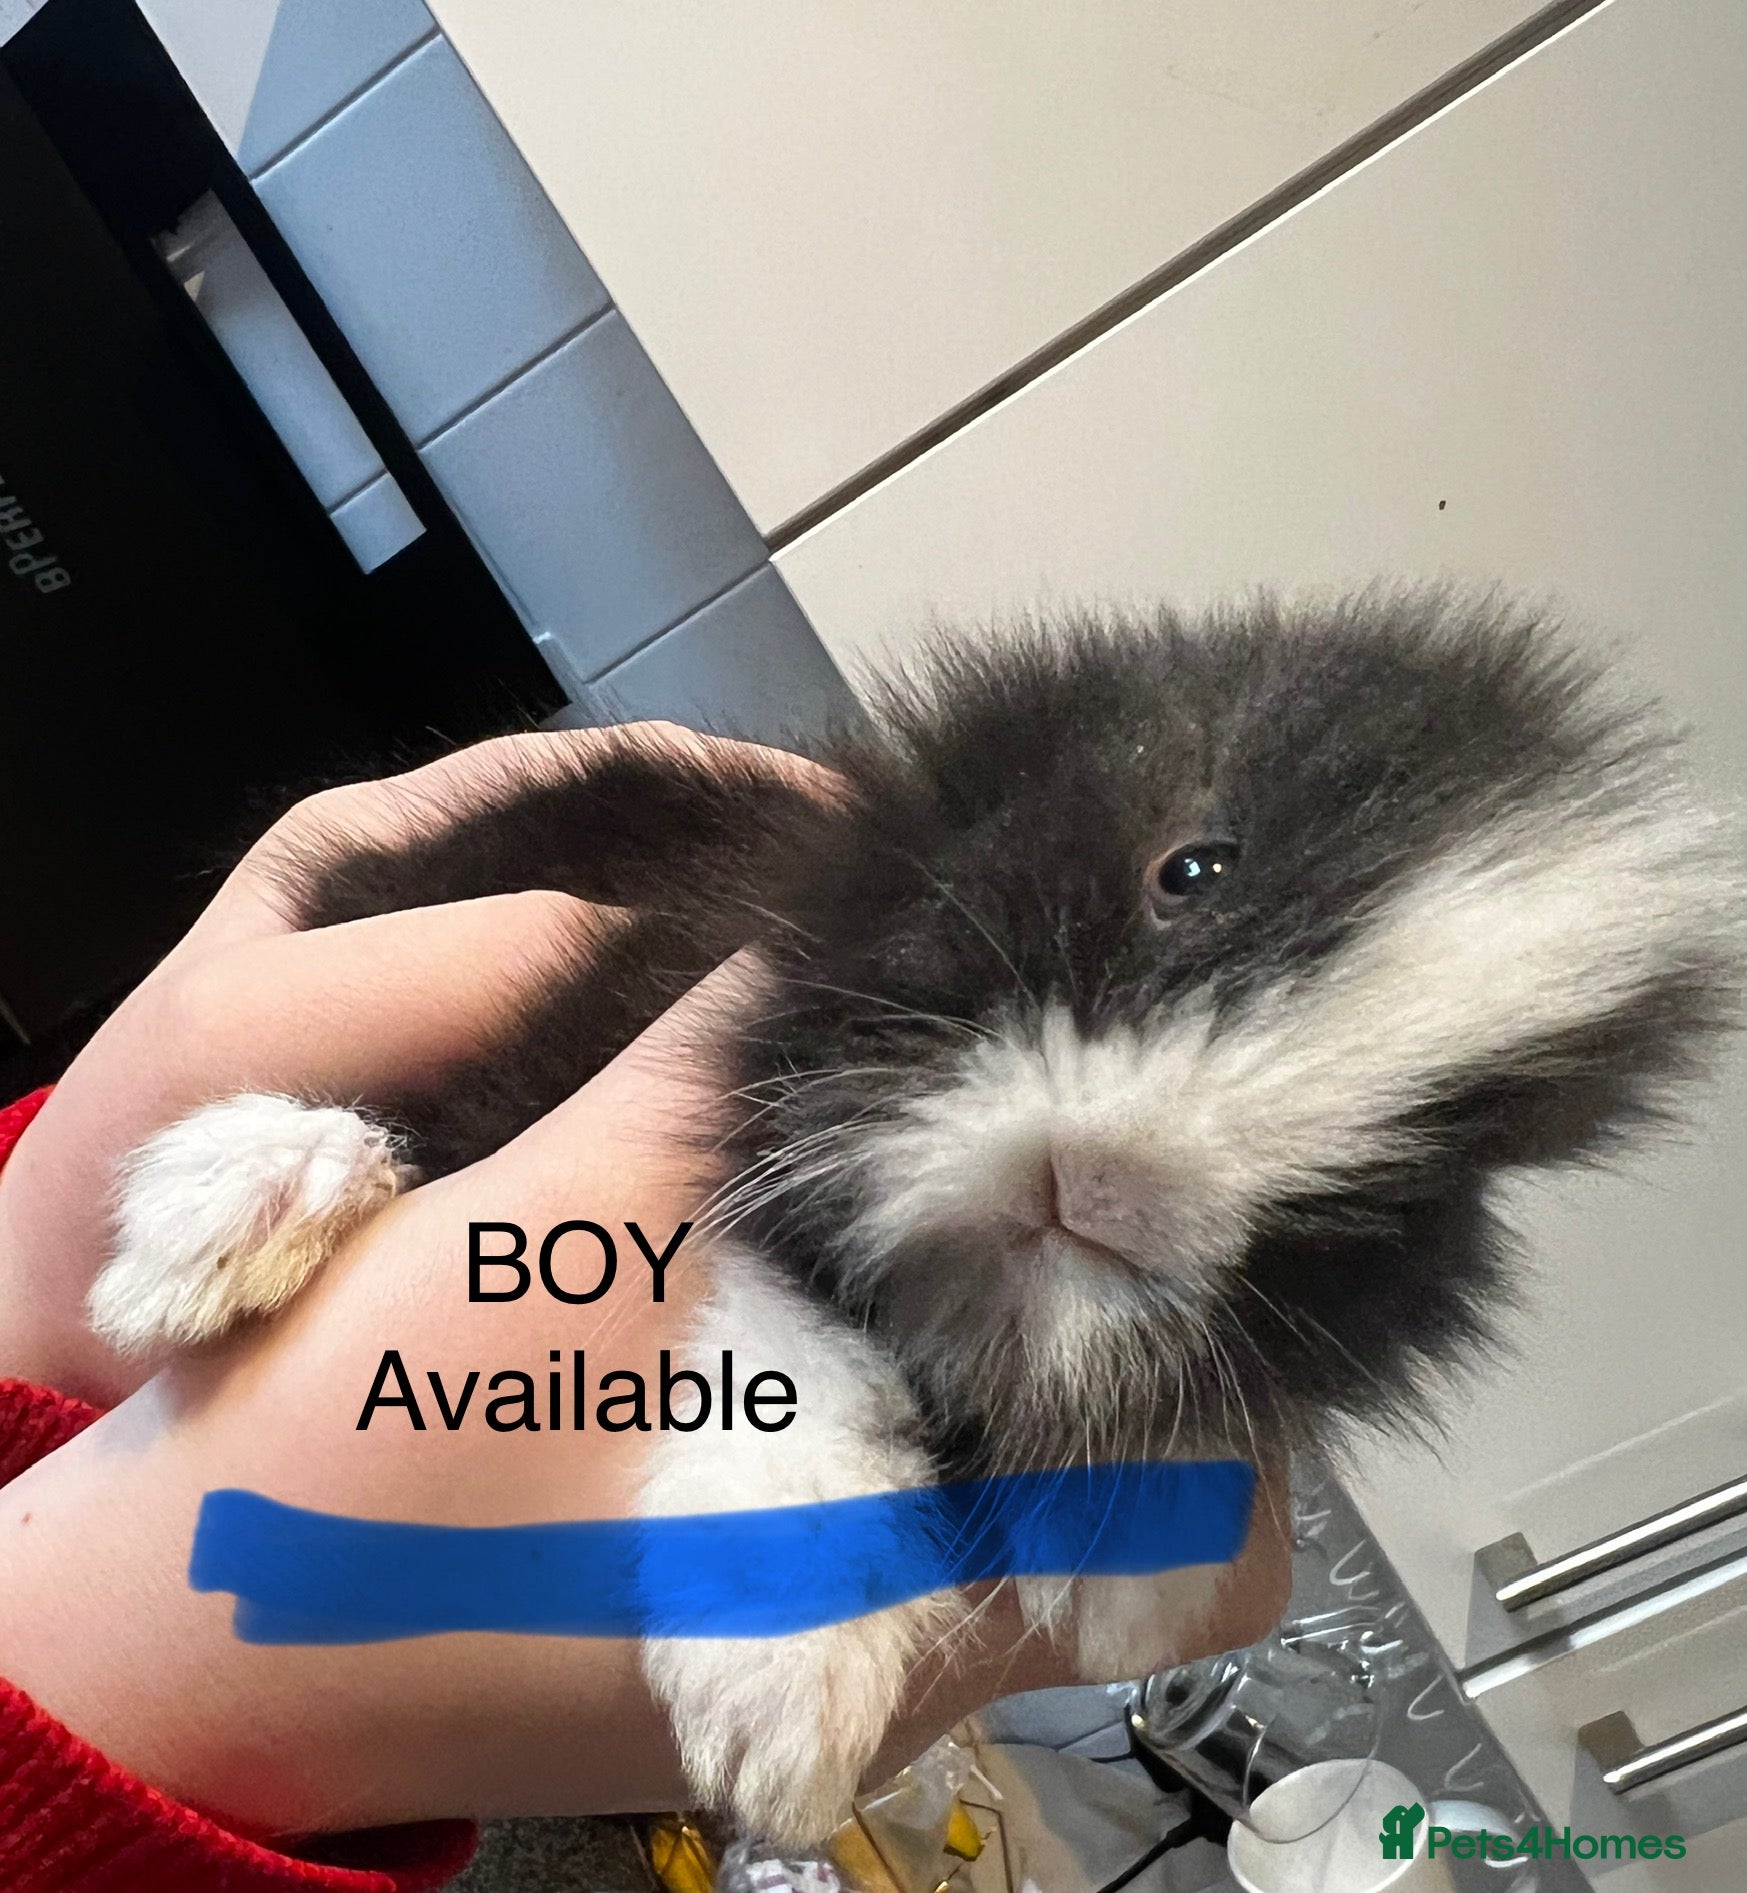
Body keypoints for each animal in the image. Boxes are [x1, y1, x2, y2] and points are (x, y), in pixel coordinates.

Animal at [87, 590, 1742, 1844]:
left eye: (1419, 1180)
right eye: (1188, 867)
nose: (1106, 1186)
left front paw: (1120, 1558)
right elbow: (775, 1342)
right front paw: (775, 1706)